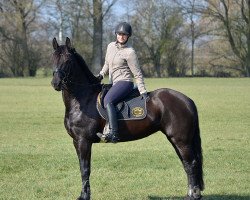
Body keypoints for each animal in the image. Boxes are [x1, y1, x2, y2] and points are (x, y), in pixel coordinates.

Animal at [50, 38, 203, 200]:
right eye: (52, 58)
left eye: (68, 60)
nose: (55, 83)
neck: (84, 100)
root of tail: (187, 100)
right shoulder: (76, 141)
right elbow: (82, 168)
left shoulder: (83, 141)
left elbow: (85, 169)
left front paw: (85, 196)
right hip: (175, 139)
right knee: (186, 164)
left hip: (181, 140)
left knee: (191, 163)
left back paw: (194, 195)